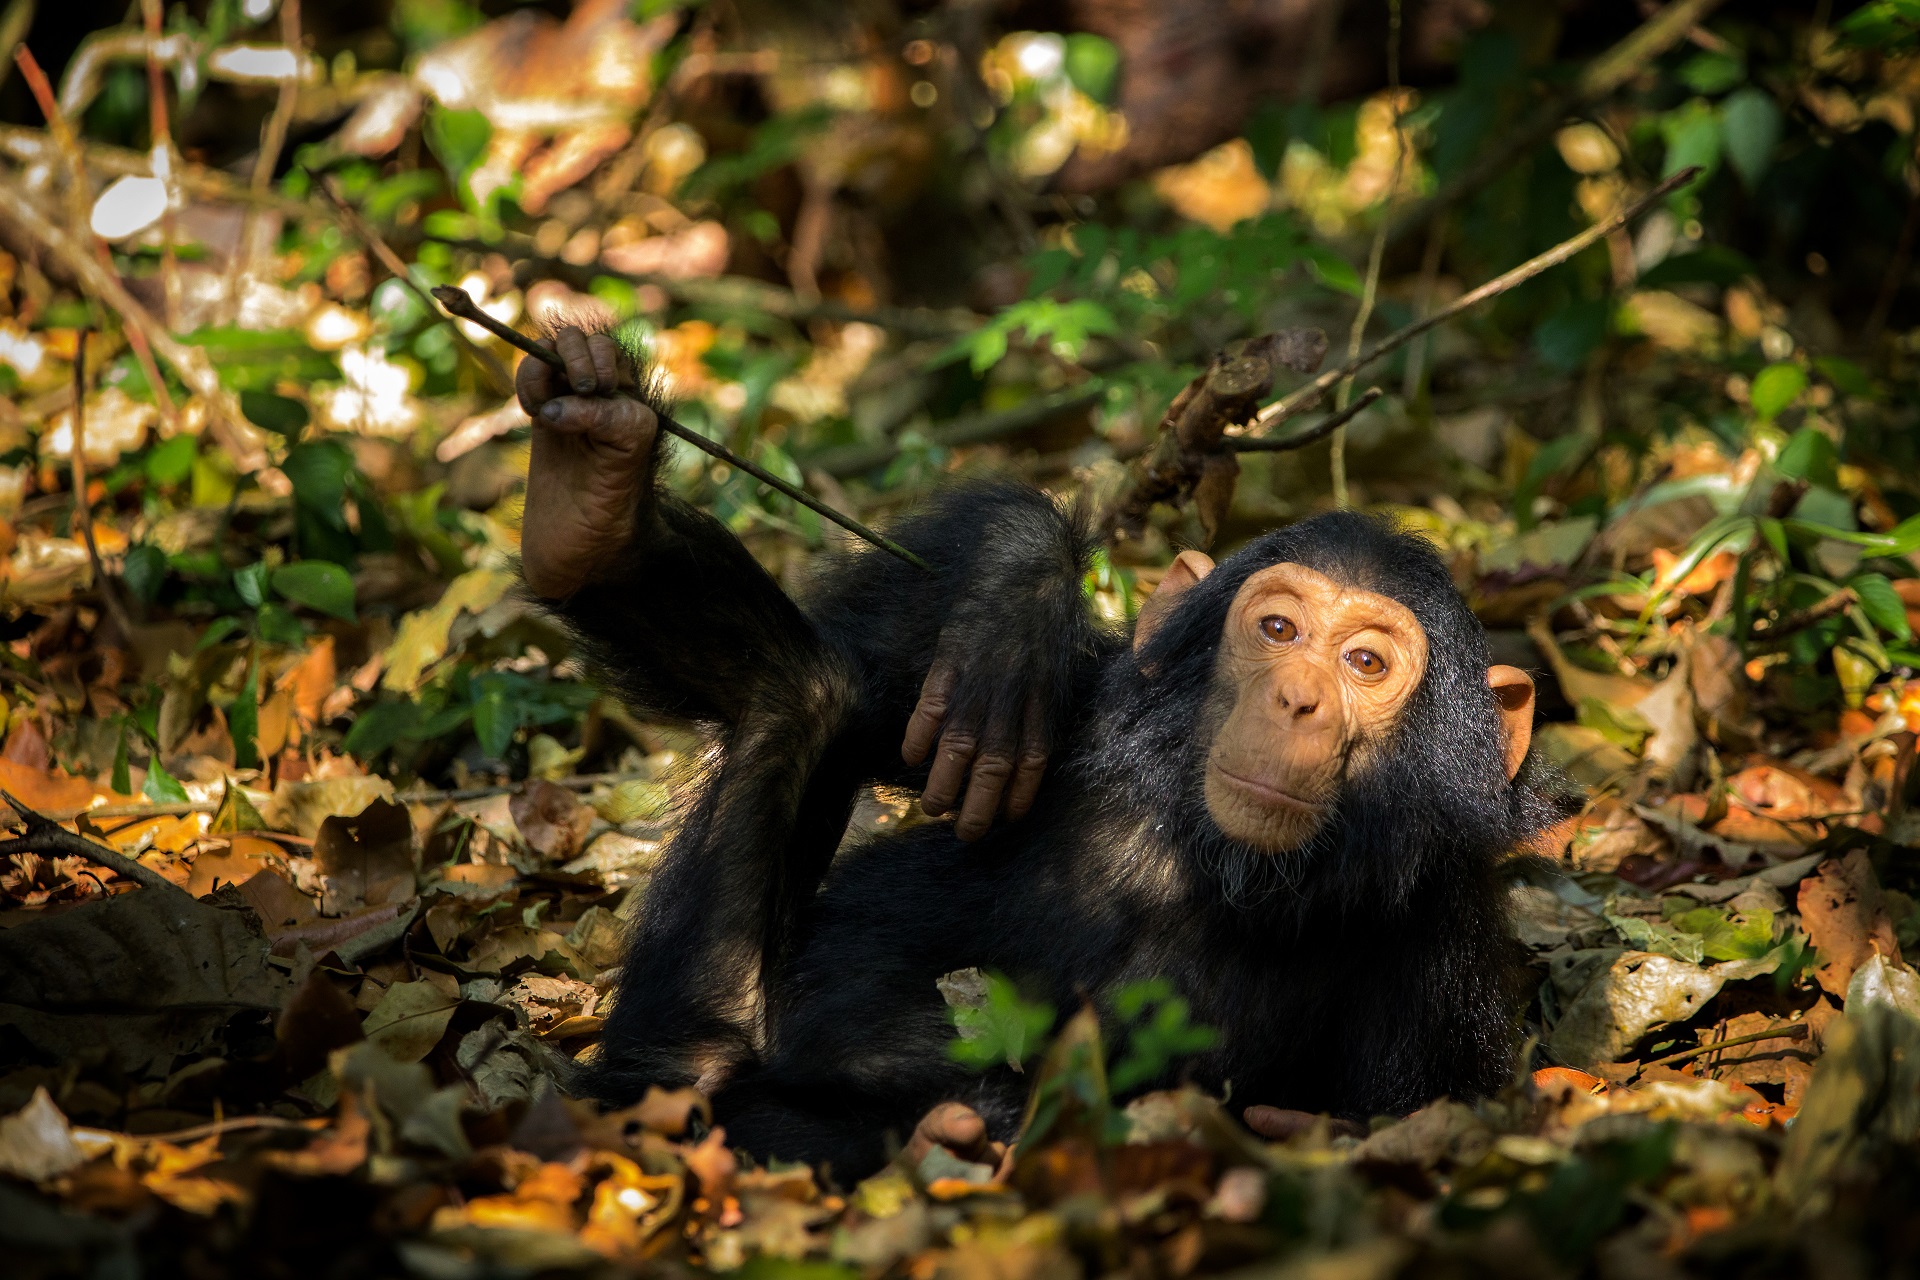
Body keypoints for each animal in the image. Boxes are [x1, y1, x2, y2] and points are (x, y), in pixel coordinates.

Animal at [514, 328, 1559, 1182]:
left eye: (1366, 663)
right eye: (1276, 629)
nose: (1296, 697)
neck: (1222, 869)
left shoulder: (1445, 957)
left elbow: (1417, 1121)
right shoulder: (1077, 705)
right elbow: (876, 679)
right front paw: (1012, 596)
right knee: (797, 687)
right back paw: (588, 500)